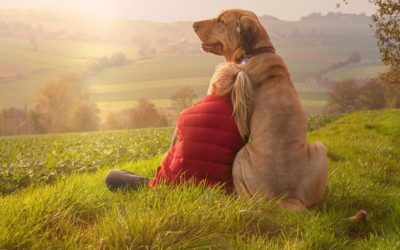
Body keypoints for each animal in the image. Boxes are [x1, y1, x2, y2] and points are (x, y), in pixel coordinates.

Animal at [194, 8, 328, 210]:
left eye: (221, 21)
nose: (193, 24)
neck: (255, 51)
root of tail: (288, 197)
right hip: (320, 148)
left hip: (240, 157)